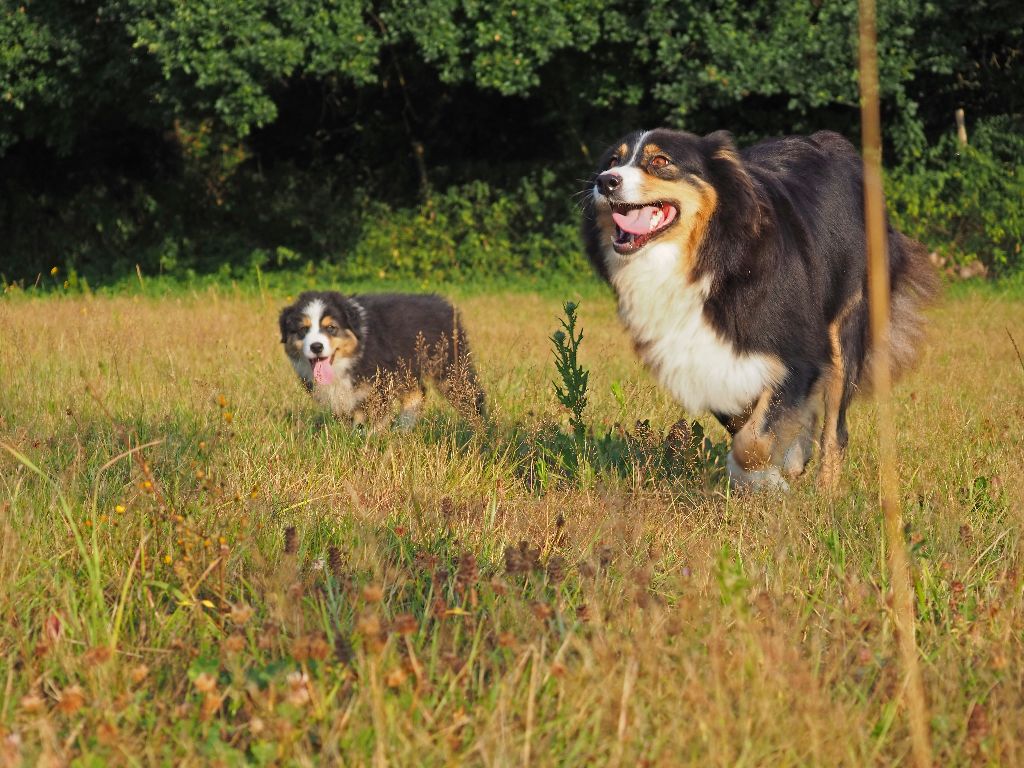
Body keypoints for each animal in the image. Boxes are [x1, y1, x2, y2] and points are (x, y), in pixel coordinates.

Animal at [278, 291, 484, 427]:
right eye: (303, 330)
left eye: (331, 328)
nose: (316, 347)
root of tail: (443, 303)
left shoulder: (379, 384)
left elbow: (373, 419)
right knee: (417, 394)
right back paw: (403, 430)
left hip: (450, 368)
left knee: (472, 397)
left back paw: (480, 430)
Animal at [582, 128, 937, 491]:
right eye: (612, 160)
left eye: (660, 161)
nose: (605, 181)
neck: (711, 255)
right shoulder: (703, 357)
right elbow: (744, 418)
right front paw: (779, 465)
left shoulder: (799, 347)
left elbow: (754, 440)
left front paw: (765, 473)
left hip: (847, 320)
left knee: (836, 426)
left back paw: (826, 492)